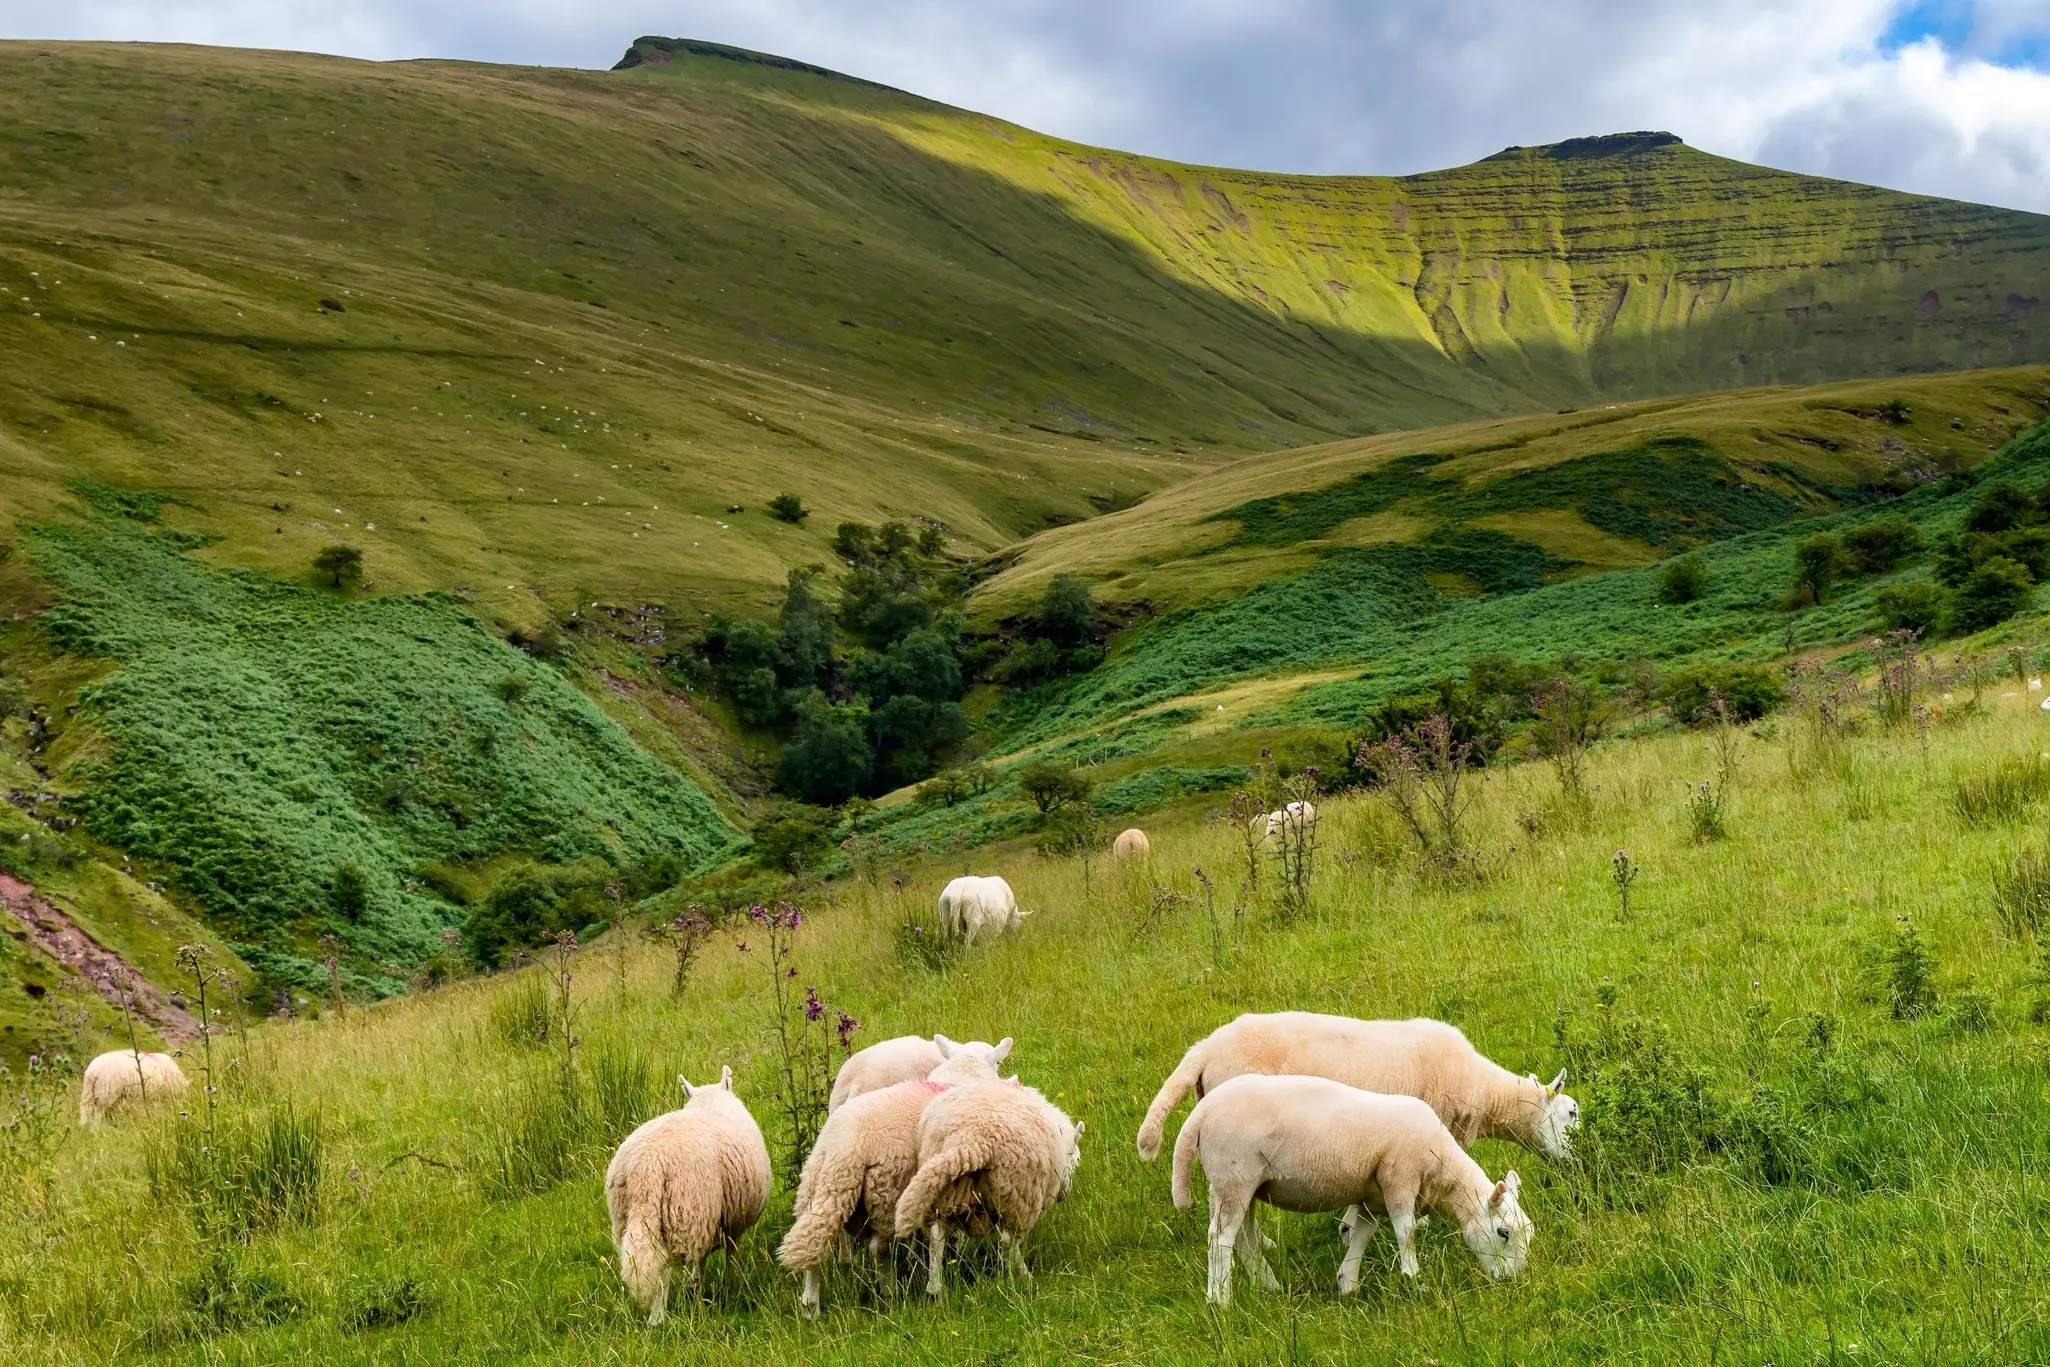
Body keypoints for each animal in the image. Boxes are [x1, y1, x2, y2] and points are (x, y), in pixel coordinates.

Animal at [605, 1066, 772, 1325]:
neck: (710, 1102)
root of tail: (647, 1167)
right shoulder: (729, 1220)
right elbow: (726, 1255)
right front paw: (725, 1284)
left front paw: (696, 1285)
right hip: (685, 1211)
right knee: (663, 1268)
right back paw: (657, 1319)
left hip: (628, 1217)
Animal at [780, 1046, 1009, 1317]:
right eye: (998, 1063)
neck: (959, 1078)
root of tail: (845, 1149)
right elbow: (939, 1235)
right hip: (885, 1191)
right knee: (878, 1248)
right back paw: (890, 1294)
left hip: (817, 1186)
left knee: (814, 1244)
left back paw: (811, 1306)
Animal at [893, 1079, 1083, 1299]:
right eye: (1077, 1160)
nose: (1064, 1195)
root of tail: (973, 1140)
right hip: (1018, 1198)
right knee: (1009, 1242)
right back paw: (1020, 1276)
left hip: (943, 1193)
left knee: (936, 1239)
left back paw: (936, 1290)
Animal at [1172, 1073, 1532, 1303]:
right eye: (1503, 1232)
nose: (1512, 1281)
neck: (1440, 1167)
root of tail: (1200, 1113)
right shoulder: (1398, 1179)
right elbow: (1406, 1232)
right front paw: (1413, 1278)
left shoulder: (1372, 1195)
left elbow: (1362, 1233)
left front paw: (1348, 1283)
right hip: (1233, 1177)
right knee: (1220, 1239)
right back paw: (1220, 1300)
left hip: (1244, 1184)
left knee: (1243, 1238)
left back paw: (1269, 1285)